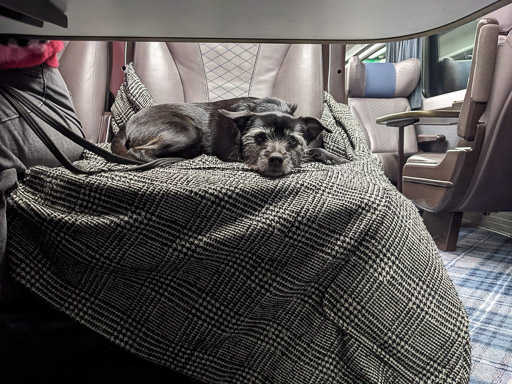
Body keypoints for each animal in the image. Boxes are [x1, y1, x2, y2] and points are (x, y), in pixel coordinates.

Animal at [110, 97, 346, 178]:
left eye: (293, 141)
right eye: (260, 138)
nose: (276, 160)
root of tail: (126, 124)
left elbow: (312, 150)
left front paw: (335, 158)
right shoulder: (235, 156)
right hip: (188, 131)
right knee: (139, 151)